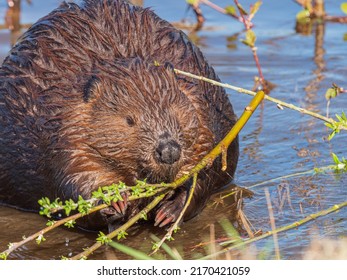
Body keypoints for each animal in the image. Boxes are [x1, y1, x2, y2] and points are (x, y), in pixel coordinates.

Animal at [0, 0, 239, 229]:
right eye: (129, 120)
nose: (168, 150)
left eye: (174, 112)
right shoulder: (66, 134)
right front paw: (114, 202)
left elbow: (207, 169)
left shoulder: (205, 112)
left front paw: (170, 211)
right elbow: (75, 179)